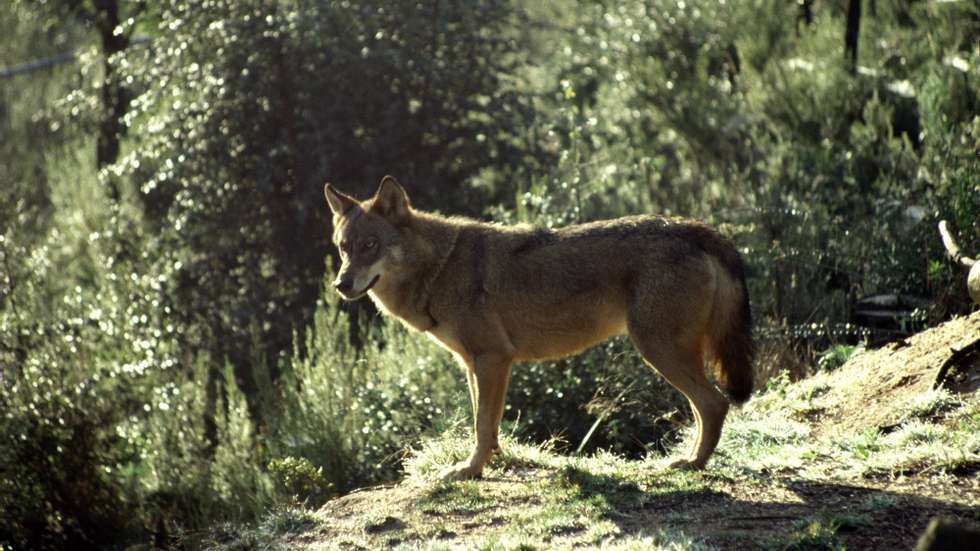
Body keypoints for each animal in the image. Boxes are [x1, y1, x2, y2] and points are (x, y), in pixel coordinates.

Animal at [326, 179, 756, 480]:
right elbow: (487, 424)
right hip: (667, 353)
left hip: (657, 350)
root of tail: (695, 227)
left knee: (714, 403)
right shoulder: (473, 363)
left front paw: (469, 471)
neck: (440, 268)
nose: (341, 284)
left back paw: (692, 464)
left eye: (371, 244)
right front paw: (489, 464)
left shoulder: (493, 358)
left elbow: (481, 424)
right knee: (704, 407)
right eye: (344, 247)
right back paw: (691, 459)